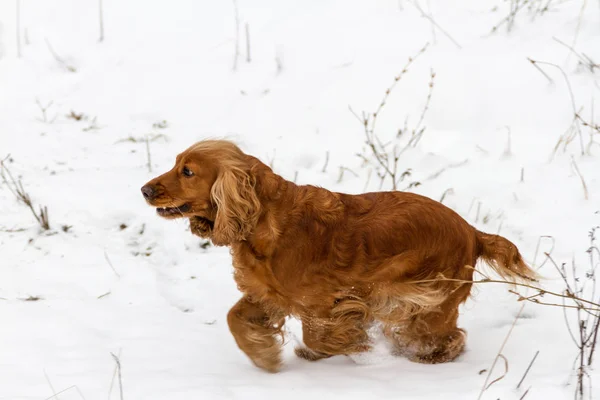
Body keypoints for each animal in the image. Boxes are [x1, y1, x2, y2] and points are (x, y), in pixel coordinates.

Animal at [143, 140, 536, 372]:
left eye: (188, 171)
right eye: (176, 164)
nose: (145, 189)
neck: (264, 218)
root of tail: (473, 231)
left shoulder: (322, 301)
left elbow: (319, 333)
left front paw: (353, 345)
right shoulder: (268, 294)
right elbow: (234, 318)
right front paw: (264, 355)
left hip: (429, 301)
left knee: (452, 336)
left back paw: (432, 356)